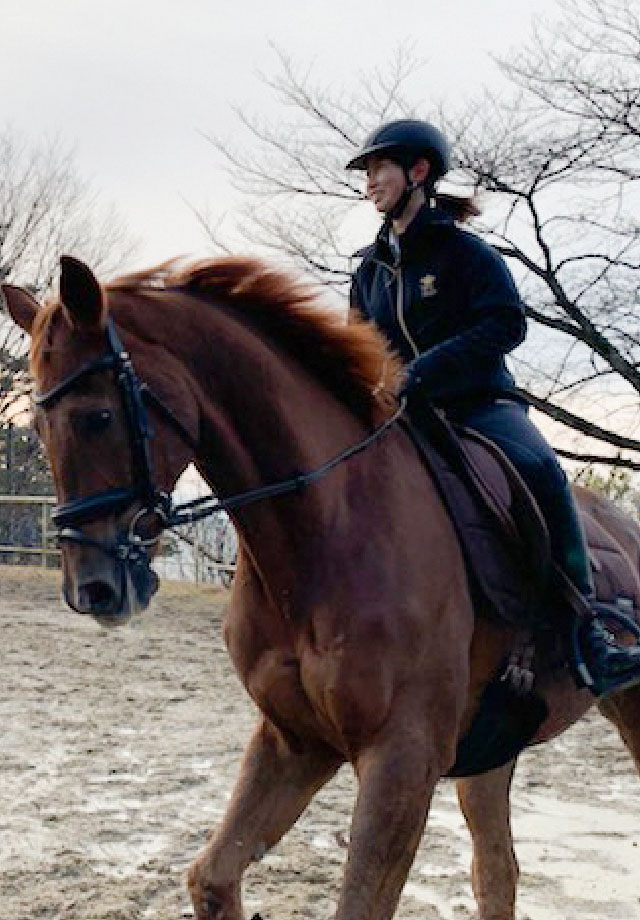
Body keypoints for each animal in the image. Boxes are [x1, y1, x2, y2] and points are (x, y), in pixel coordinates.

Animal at [5, 255, 640, 920]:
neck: (327, 532)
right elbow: (212, 877)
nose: (92, 590)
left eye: (98, 416)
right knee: (497, 872)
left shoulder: (402, 760)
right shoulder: (296, 741)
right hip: (491, 753)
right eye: (38, 425)